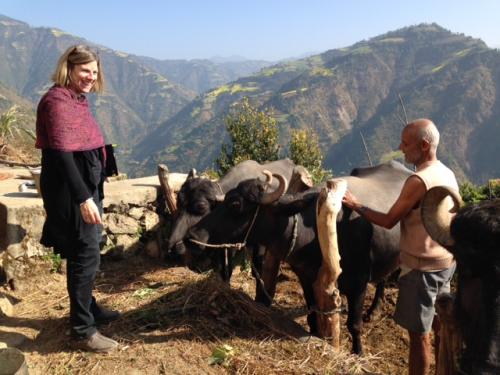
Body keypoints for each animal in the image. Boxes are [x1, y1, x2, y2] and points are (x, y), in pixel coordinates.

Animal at [186, 160, 412, 354]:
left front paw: (358, 353)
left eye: (235, 203)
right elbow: (312, 314)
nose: (193, 235)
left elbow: (354, 325)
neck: (315, 231)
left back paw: (373, 310)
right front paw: (315, 335)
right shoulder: (306, 277)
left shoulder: (359, 283)